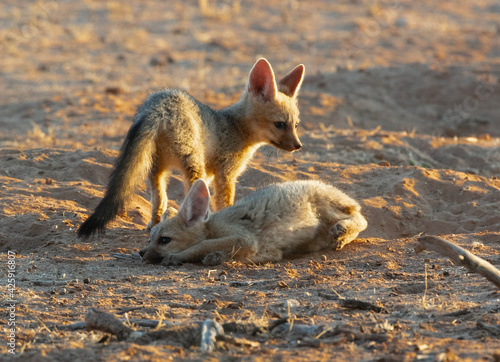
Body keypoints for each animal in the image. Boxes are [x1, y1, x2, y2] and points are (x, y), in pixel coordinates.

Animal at [78, 57, 304, 238]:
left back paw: (156, 224)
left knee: (160, 199)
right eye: (280, 124)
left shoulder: (212, 175)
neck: (234, 126)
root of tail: (159, 105)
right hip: (193, 166)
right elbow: (224, 203)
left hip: (158, 168)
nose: (298, 146)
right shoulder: (226, 175)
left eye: (296, 125)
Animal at [140, 179, 368, 266]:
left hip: (328, 207)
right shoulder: (266, 250)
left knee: (361, 218)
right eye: (149, 239)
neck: (211, 227)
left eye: (164, 240)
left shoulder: (244, 238)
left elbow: (202, 244)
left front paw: (177, 256)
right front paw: (218, 257)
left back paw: (343, 232)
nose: (140, 253)